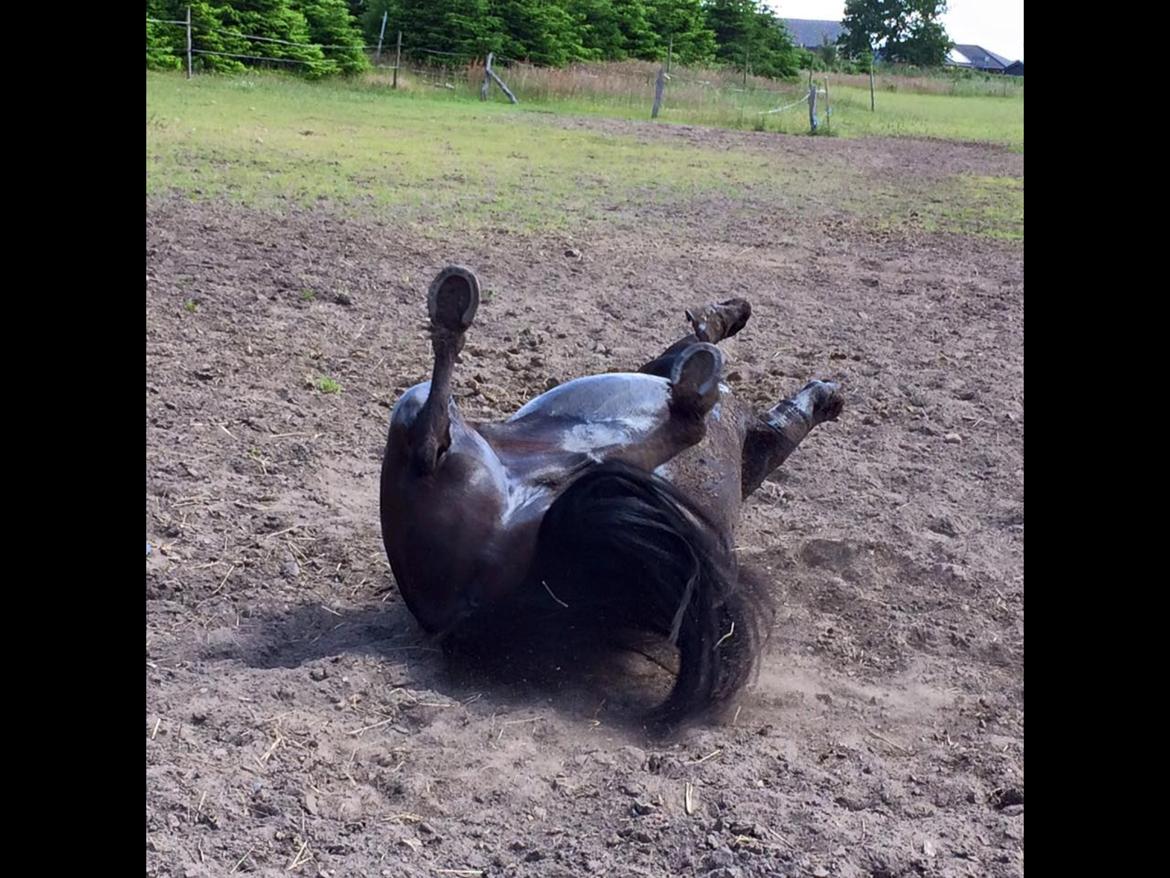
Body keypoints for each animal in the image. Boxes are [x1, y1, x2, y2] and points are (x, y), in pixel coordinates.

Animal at [379, 264, 847, 725]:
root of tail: (456, 615)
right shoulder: (755, 435)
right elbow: (762, 394)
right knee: (683, 425)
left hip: (431, 428)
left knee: (431, 425)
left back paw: (452, 304)